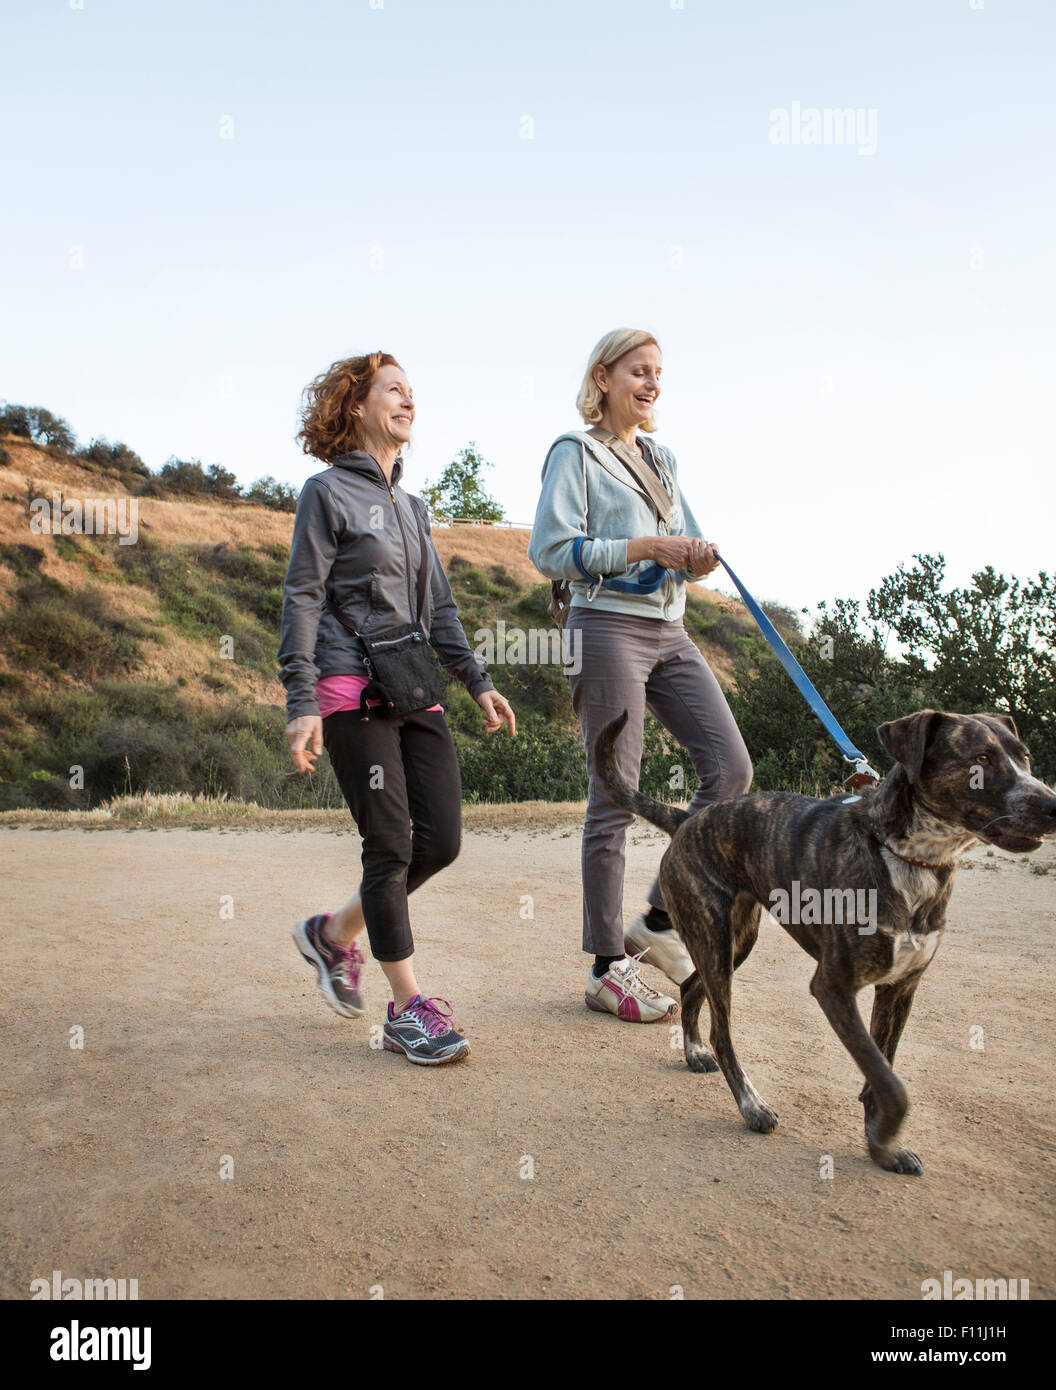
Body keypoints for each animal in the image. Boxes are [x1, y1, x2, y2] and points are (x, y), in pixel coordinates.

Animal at [594, 706, 1056, 1173]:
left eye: (1024, 756)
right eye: (981, 758)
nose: (1053, 804)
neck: (906, 856)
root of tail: (689, 818)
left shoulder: (900, 988)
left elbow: (882, 1069)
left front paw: (881, 1144)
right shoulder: (833, 987)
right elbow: (890, 1082)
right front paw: (885, 1136)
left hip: (735, 942)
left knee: (691, 987)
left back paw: (694, 1052)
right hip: (715, 938)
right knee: (723, 1031)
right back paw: (751, 1105)